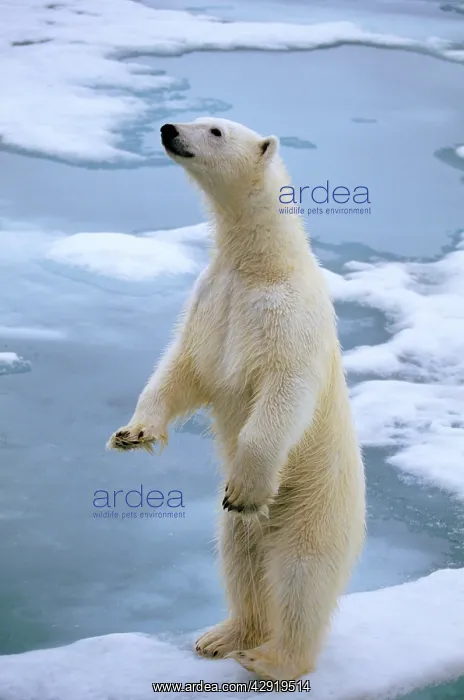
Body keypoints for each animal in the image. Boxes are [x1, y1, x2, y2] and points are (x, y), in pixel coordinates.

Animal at [107, 117, 366, 681]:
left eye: (216, 130)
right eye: (198, 118)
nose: (167, 128)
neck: (259, 263)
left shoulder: (287, 315)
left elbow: (283, 391)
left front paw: (245, 486)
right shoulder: (213, 300)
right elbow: (182, 367)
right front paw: (133, 432)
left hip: (314, 506)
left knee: (300, 577)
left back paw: (274, 659)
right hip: (247, 533)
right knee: (240, 558)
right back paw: (223, 635)